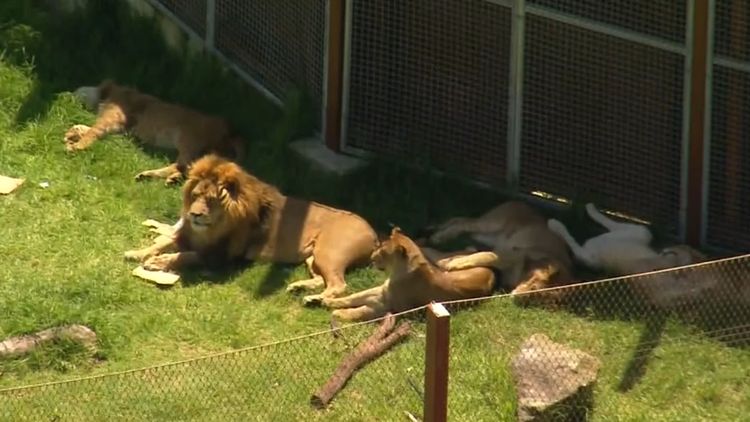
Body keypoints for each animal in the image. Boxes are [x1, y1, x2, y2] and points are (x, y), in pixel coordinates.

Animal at [65, 79, 245, 185]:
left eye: (76, 90)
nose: (67, 95)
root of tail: (230, 129)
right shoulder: (121, 130)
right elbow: (86, 128)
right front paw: (71, 133)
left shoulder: (113, 118)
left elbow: (93, 131)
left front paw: (76, 146)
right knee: (189, 167)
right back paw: (161, 178)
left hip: (188, 140)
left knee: (187, 166)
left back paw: (165, 178)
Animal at [126, 152, 382, 304]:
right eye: (196, 195)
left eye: (211, 200)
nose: (194, 214)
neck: (213, 227)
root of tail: (374, 235)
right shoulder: (189, 235)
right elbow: (163, 242)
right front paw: (136, 253)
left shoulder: (221, 255)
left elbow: (185, 256)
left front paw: (158, 262)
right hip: (314, 257)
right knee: (323, 279)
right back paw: (300, 288)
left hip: (329, 253)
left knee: (339, 284)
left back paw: (317, 300)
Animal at [320, 229, 496, 322]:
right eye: (379, 247)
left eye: (383, 252)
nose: (371, 258)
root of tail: (492, 274)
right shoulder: (380, 291)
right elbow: (353, 297)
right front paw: (324, 300)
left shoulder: (390, 307)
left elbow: (361, 311)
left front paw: (339, 314)